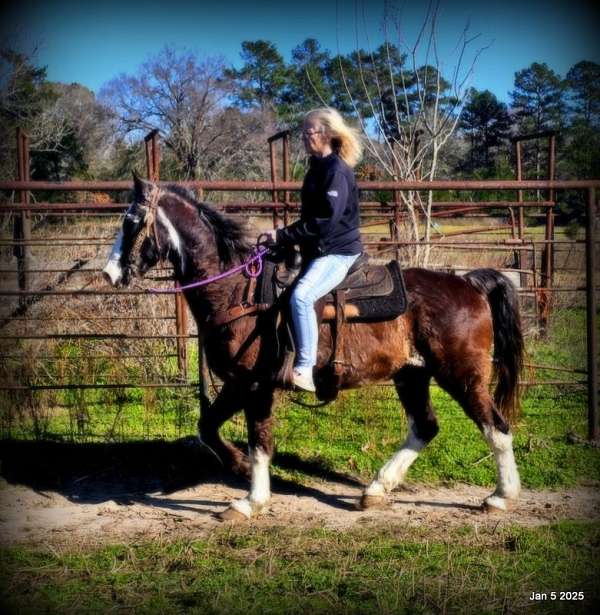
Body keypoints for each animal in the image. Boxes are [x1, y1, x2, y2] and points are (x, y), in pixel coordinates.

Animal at [104, 176, 524, 524]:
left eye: (131, 222)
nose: (110, 274)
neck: (238, 291)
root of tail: (469, 283)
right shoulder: (240, 384)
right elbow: (208, 427)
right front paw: (240, 470)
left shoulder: (253, 385)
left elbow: (258, 440)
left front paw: (250, 498)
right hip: (412, 375)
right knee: (425, 427)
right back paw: (376, 489)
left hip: (461, 374)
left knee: (497, 427)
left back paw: (501, 497)